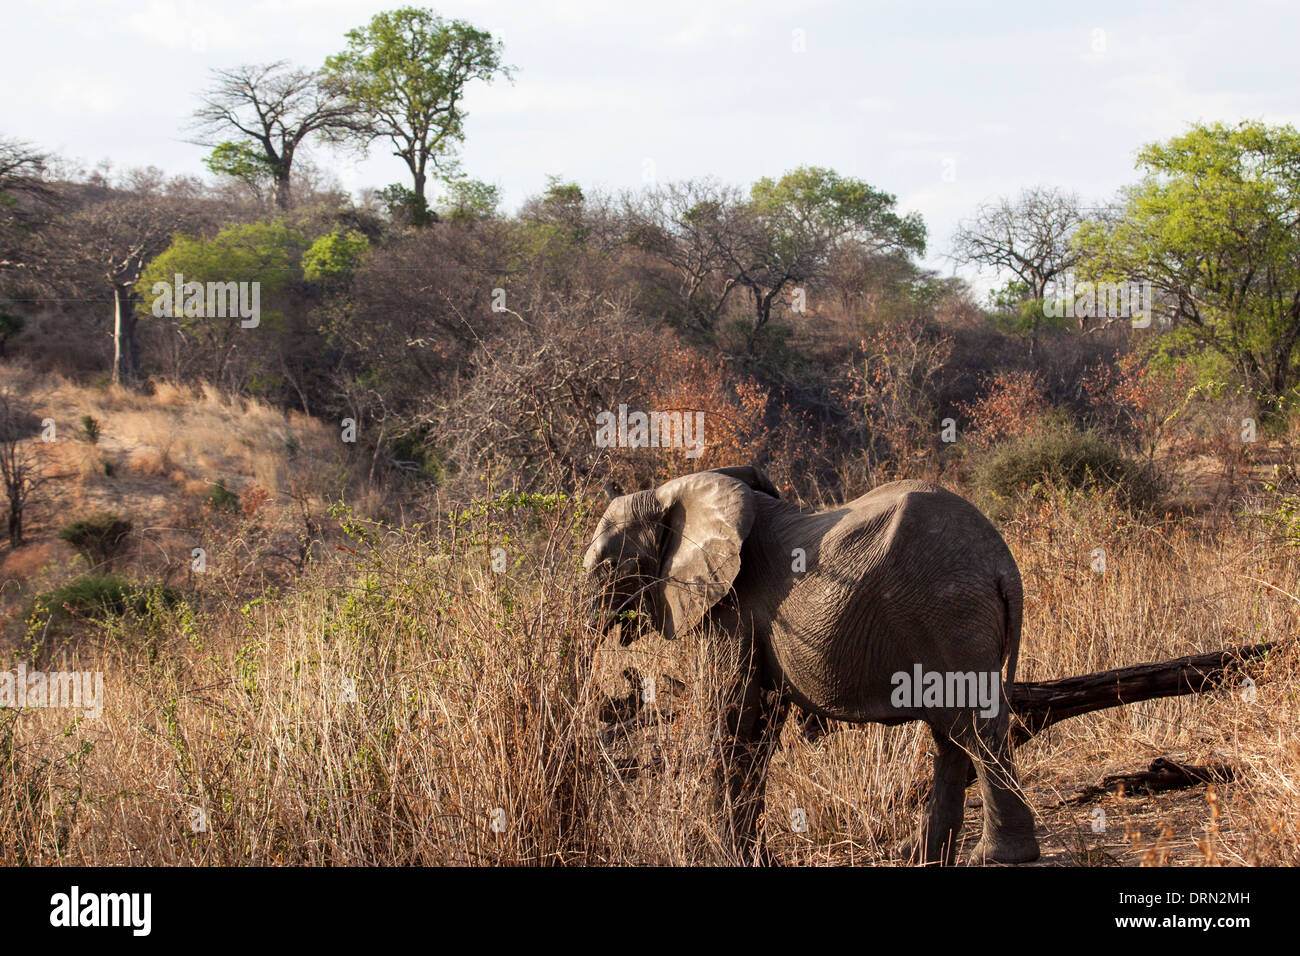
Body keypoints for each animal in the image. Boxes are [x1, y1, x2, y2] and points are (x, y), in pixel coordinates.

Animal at [585, 463, 1040, 868]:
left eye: (609, 566)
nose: (620, 686)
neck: (674, 492)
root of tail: (1003, 566)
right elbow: (759, 729)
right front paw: (759, 860)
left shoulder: (732, 610)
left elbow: (732, 718)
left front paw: (732, 860)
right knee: (952, 736)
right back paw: (917, 855)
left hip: (950, 617)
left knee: (977, 729)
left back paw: (997, 857)